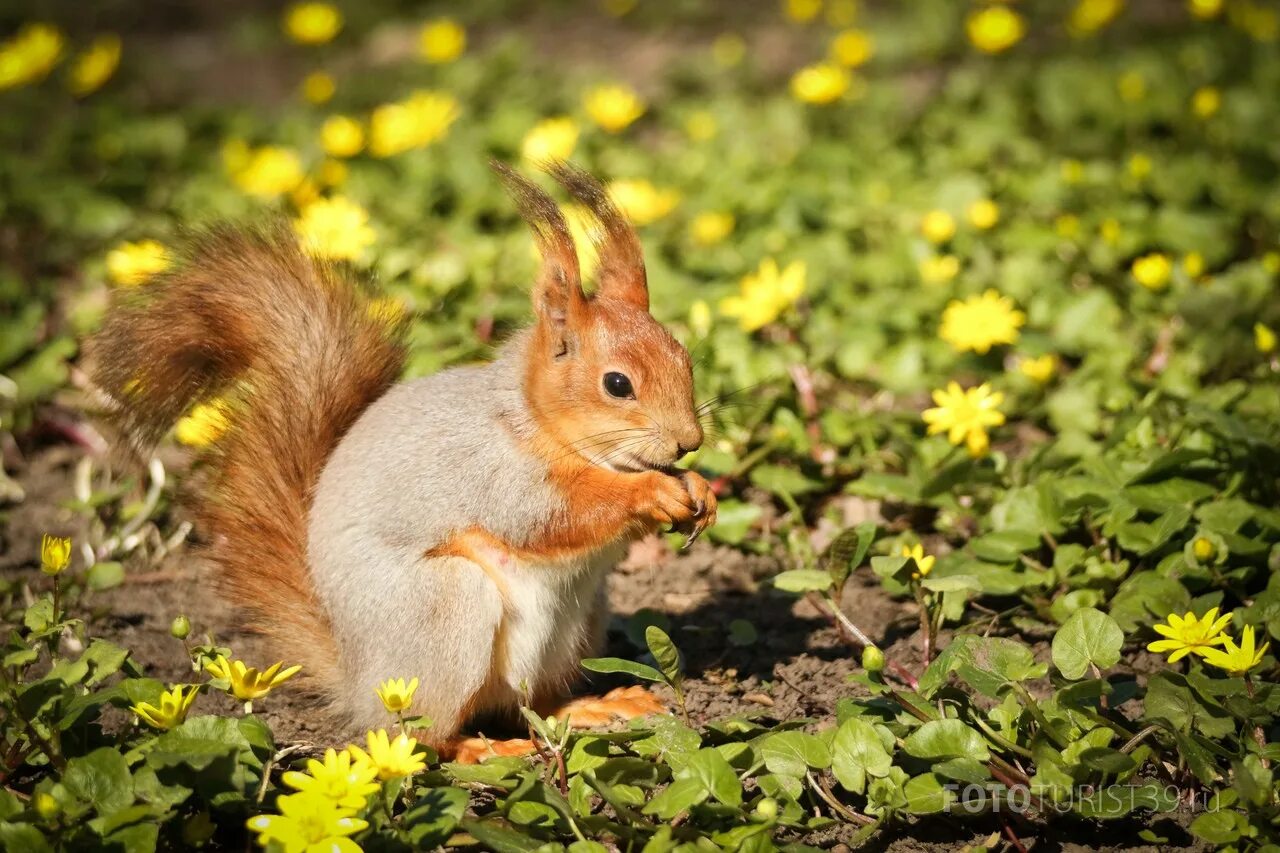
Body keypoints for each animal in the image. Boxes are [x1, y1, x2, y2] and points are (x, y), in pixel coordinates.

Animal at [88, 162, 716, 753]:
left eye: (684, 357)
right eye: (617, 384)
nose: (689, 440)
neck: (535, 420)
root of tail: (359, 681)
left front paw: (699, 488)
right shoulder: (492, 473)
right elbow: (552, 516)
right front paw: (651, 492)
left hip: (579, 623)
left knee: (531, 704)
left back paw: (589, 707)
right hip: (444, 612)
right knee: (426, 733)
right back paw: (482, 749)